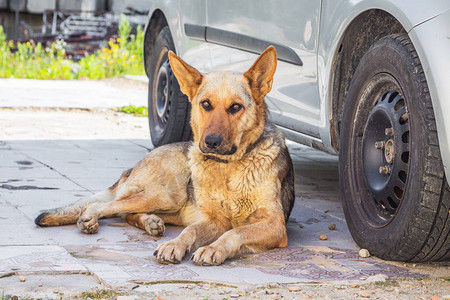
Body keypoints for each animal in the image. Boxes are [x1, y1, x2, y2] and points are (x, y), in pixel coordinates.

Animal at [35, 45, 296, 266]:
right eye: (206, 104)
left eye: (236, 107)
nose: (210, 142)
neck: (228, 168)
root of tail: (131, 168)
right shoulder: (215, 220)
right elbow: (192, 231)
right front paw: (175, 244)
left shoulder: (274, 225)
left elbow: (235, 231)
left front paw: (213, 248)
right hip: (169, 194)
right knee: (108, 205)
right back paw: (92, 216)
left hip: (173, 206)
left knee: (128, 213)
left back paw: (150, 222)